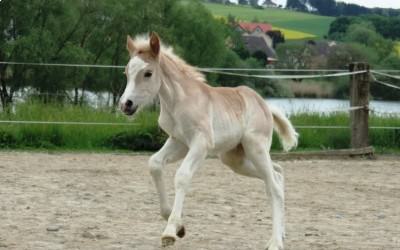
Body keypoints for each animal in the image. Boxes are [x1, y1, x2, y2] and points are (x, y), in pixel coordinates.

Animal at [119, 32, 296, 249]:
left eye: (148, 73)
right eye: (126, 72)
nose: (126, 105)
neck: (179, 101)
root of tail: (265, 105)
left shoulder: (201, 143)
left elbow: (182, 176)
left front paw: (170, 232)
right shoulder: (178, 141)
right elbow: (154, 164)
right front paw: (179, 226)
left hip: (256, 149)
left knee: (274, 187)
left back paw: (275, 242)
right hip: (235, 159)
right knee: (277, 174)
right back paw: (281, 234)